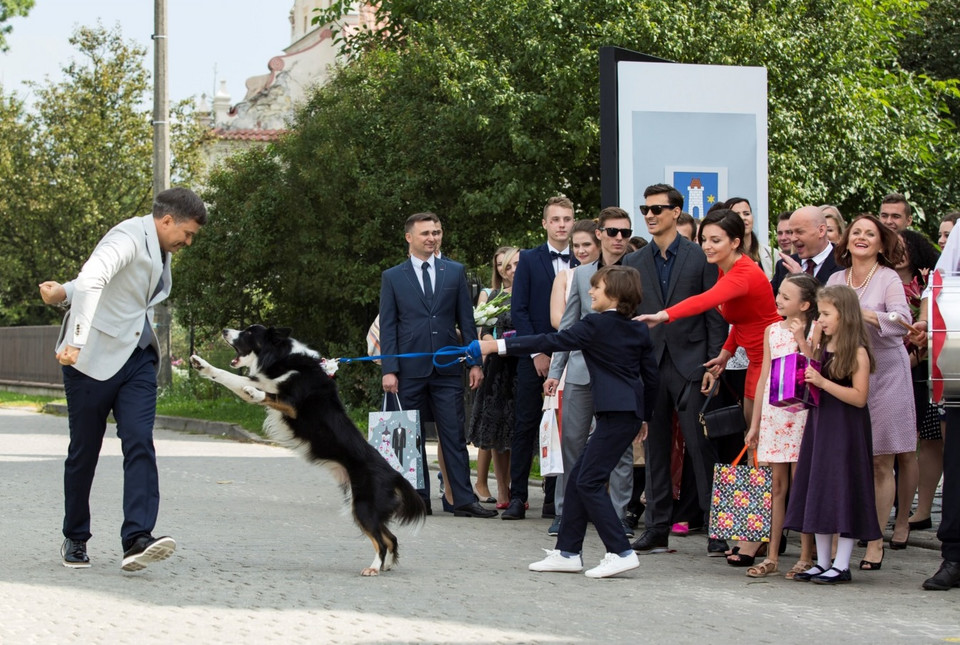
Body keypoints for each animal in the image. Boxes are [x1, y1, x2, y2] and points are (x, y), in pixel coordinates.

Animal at [189, 324, 426, 576]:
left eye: (250, 332)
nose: (225, 330)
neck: (283, 358)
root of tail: (395, 474)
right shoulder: (261, 382)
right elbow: (229, 377)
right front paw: (201, 364)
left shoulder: (290, 403)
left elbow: (265, 393)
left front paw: (256, 393)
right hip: (365, 506)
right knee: (391, 537)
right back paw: (386, 565)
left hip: (363, 505)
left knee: (380, 540)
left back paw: (374, 567)